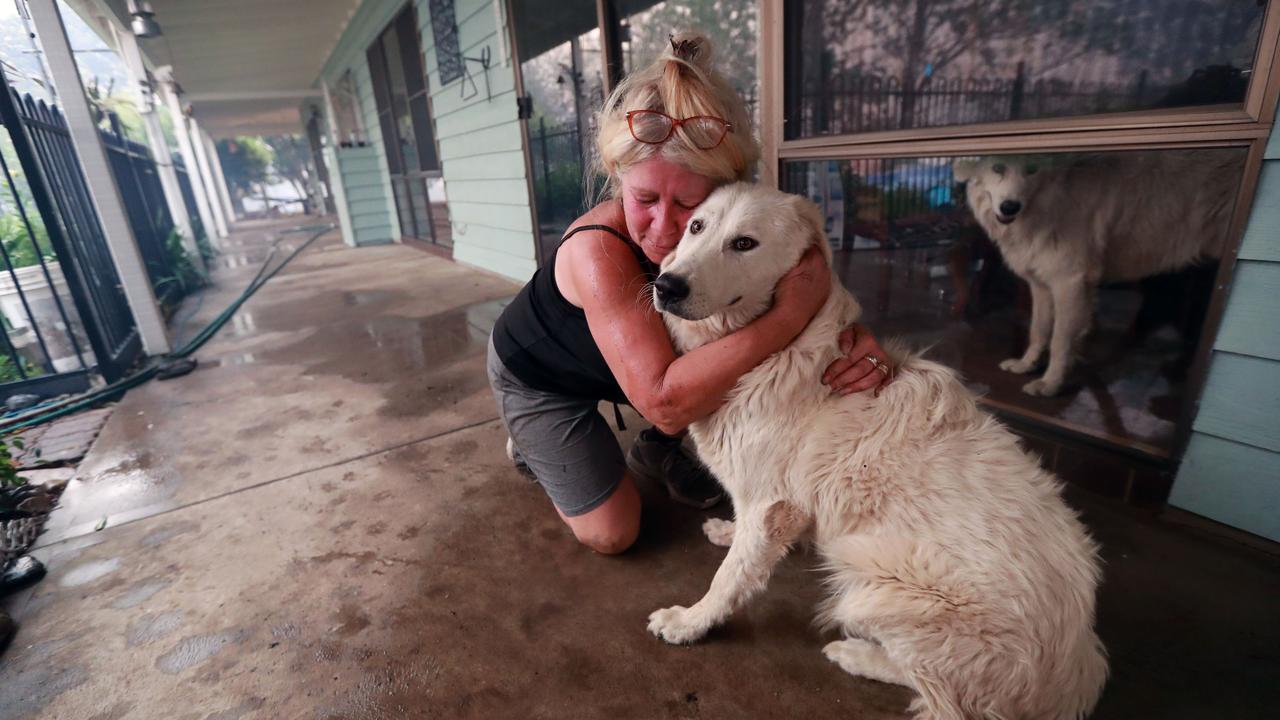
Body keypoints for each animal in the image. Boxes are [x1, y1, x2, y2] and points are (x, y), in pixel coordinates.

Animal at [645, 183, 1105, 717]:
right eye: (696, 227)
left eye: (744, 244)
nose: (667, 285)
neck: (773, 352)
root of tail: (1077, 672)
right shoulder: (760, 501)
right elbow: (741, 543)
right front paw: (726, 531)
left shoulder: (771, 505)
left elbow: (729, 579)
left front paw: (689, 623)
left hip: (871, 586)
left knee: (935, 690)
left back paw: (854, 654)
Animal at [957, 151, 1233, 394]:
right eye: (998, 168)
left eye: (1033, 169)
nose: (1010, 207)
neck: (1052, 203)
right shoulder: (1043, 285)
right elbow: (1038, 330)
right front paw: (1026, 365)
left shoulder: (1070, 283)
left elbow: (1060, 341)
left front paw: (1051, 384)